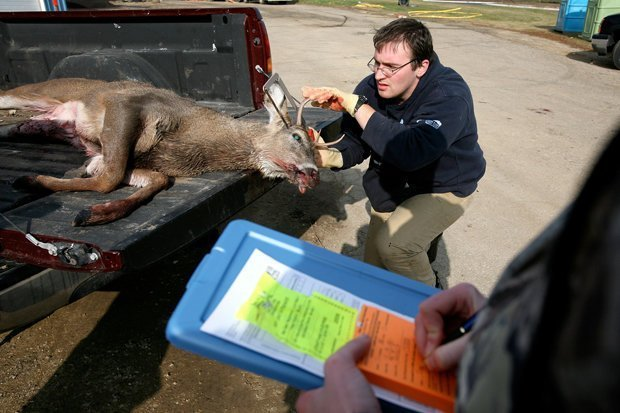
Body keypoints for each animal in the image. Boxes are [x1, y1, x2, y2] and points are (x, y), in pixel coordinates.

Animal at [1, 77, 324, 225]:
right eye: (296, 136)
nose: (314, 174)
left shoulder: (106, 157)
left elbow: (156, 180)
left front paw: (96, 213)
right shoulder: (127, 105)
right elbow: (110, 178)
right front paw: (31, 180)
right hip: (43, 90)